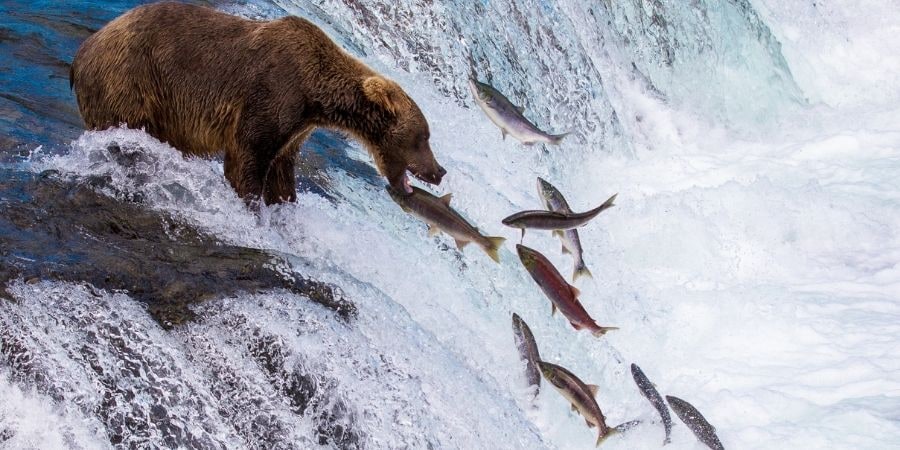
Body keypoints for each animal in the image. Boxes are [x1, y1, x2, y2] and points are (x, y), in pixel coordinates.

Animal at [72, 1, 444, 204]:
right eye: (423, 136)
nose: (439, 171)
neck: (316, 96)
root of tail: (81, 53)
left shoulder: (296, 126)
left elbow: (281, 171)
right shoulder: (274, 92)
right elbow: (247, 158)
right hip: (130, 81)